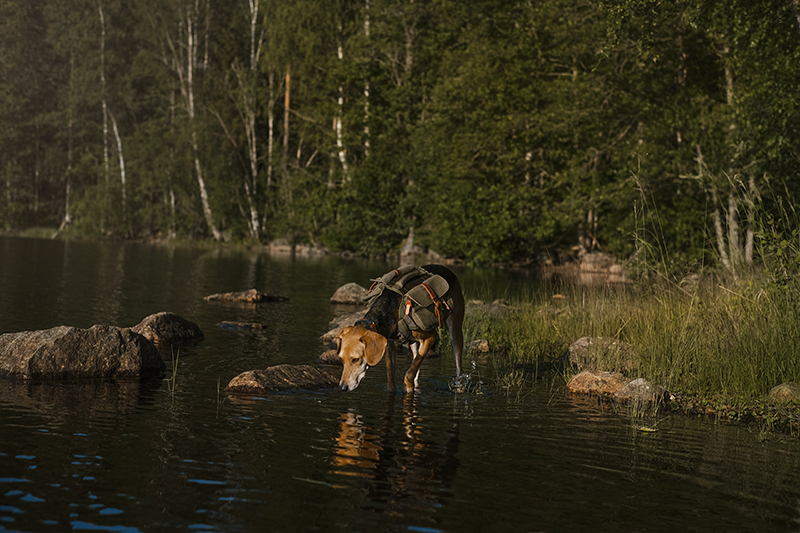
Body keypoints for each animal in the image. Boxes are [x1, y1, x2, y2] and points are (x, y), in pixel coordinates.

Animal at [336, 264, 462, 392]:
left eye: (355, 359)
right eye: (341, 359)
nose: (342, 387)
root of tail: (445, 268)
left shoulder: (429, 338)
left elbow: (408, 375)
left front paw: (408, 386)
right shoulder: (389, 344)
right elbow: (391, 381)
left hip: (455, 329)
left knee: (459, 367)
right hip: (414, 345)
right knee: (416, 363)